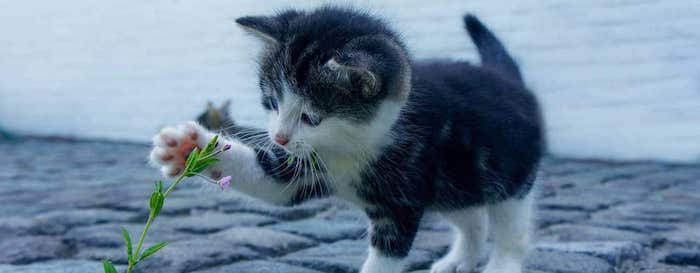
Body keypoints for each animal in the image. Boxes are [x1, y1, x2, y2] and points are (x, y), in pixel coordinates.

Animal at [150, 5, 544, 272]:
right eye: (272, 102)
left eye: (311, 117)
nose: (278, 138)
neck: (353, 146)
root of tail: (511, 81)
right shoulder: (306, 165)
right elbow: (272, 182)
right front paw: (187, 147)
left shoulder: (401, 200)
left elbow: (387, 254)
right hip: (455, 184)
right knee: (472, 216)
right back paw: (459, 259)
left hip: (510, 175)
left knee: (511, 225)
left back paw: (501, 264)